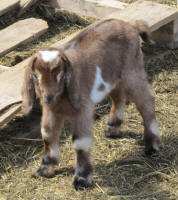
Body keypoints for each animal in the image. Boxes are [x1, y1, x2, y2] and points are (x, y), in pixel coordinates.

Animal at [21, 19, 159, 190]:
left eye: (60, 75)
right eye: (35, 76)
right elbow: (47, 135)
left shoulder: (82, 110)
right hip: (113, 76)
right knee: (118, 96)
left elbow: (80, 142)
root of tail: (131, 25)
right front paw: (45, 169)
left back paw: (152, 146)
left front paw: (82, 179)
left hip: (132, 71)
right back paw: (112, 128)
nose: (48, 98)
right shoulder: (51, 111)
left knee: (146, 101)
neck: (60, 101)